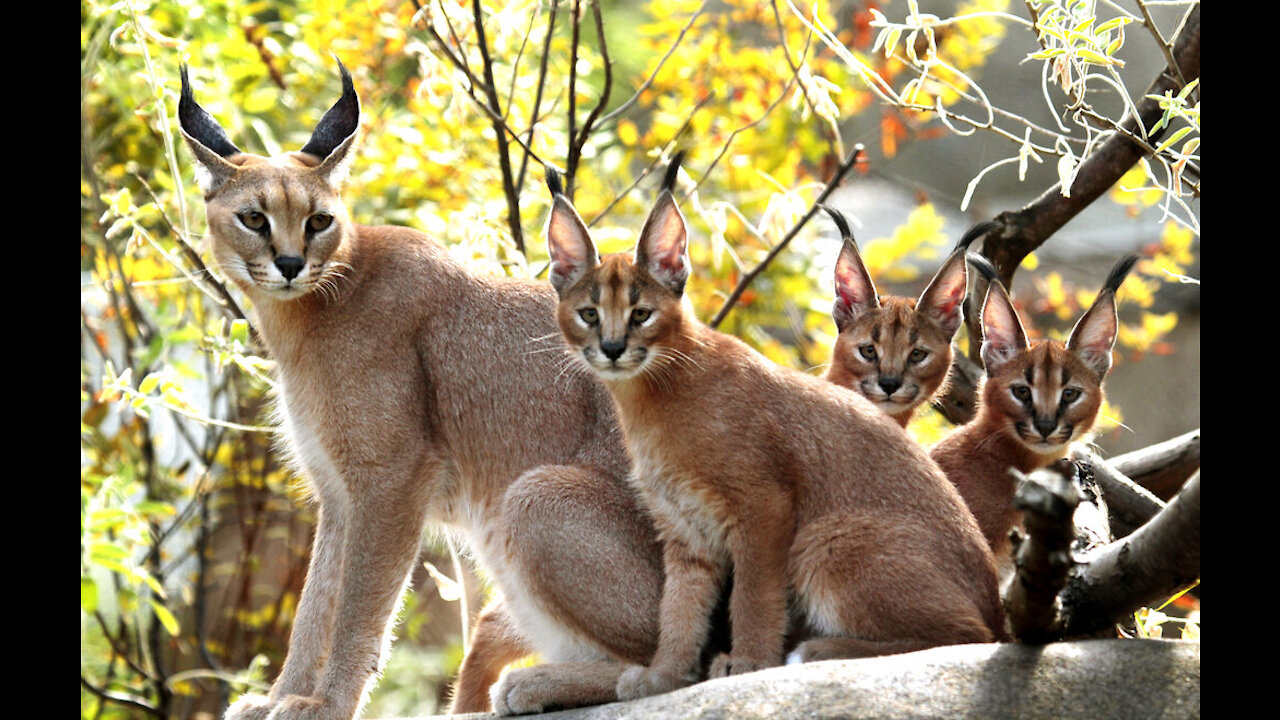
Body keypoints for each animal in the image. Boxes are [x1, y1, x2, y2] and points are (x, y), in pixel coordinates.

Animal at [183, 61, 670, 717]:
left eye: (319, 221)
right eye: (254, 218)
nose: (288, 264)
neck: (304, 314)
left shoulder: (392, 477)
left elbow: (360, 606)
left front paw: (327, 704)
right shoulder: (338, 489)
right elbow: (316, 602)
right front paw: (283, 697)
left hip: (535, 493)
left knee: (681, 657)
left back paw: (533, 685)